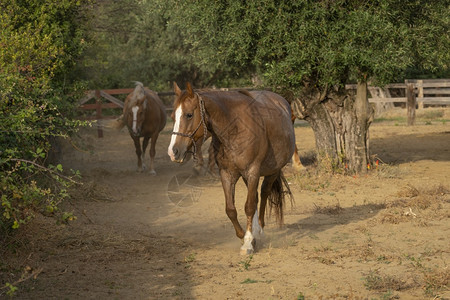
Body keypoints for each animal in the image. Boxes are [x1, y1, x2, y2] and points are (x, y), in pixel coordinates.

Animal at [167, 83, 294, 254]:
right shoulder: (227, 174)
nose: (173, 152)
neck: (235, 129)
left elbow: (249, 207)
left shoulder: (252, 171)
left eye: (189, 115)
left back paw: (260, 231)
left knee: (263, 194)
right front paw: (244, 236)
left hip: (272, 172)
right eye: (172, 117)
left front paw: (248, 242)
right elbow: (231, 209)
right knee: (255, 197)